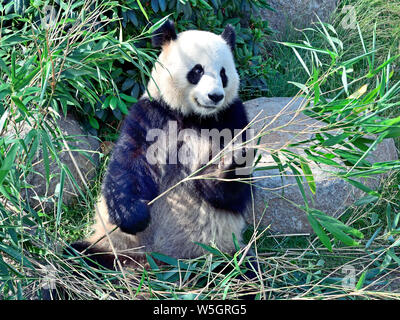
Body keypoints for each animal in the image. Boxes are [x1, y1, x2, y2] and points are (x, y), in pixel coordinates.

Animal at [70, 19, 255, 270]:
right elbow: (129, 163)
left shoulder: (232, 118)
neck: (193, 116)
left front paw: (229, 164)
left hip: (218, 253)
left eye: (223, 73)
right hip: (115, 246)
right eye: (197, 71)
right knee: (78, 255)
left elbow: (230, 193)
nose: (215, 96)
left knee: (240, 269)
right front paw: (133, 216)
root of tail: (158, 262)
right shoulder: (153, 113)